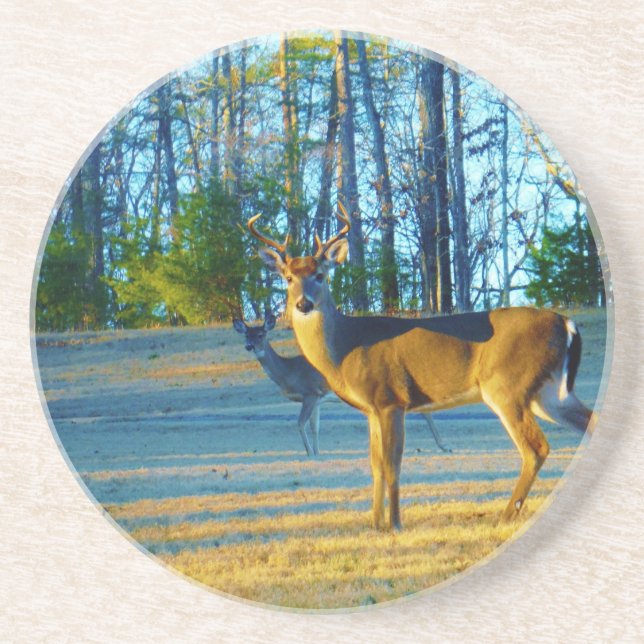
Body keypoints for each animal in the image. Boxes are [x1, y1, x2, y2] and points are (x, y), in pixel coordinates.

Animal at [233, 312, 451, 456]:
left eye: (260, 334)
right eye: (246, 335)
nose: (249, 346)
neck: (288, 372)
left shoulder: (309, 393)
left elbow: (300, 423)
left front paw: (309, 452)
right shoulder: (318, 399)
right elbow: (315, 426)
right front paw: (317, 452)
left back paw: (444, 446)